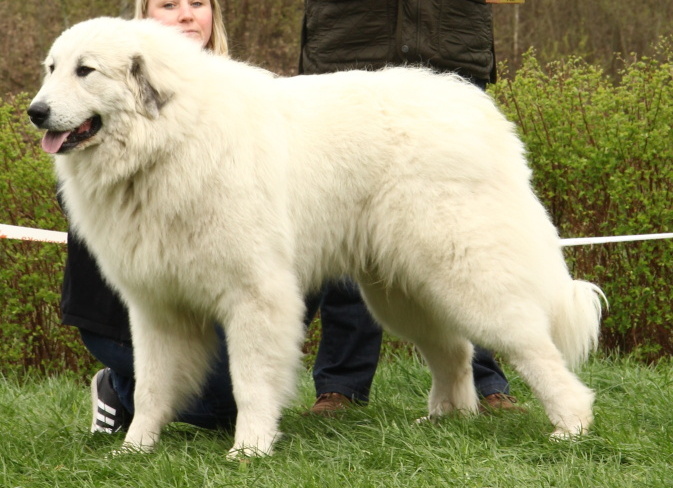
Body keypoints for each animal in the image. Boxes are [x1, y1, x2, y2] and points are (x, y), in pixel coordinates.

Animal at [27, 16, 604, 458]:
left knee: (531, 345)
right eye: (52, 69)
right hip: (400, 292)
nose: (35, 112)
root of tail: (484, 114)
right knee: (454, 351)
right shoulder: (157, 306)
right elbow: (149, 386)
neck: (170, 139)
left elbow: (250, 380)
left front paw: (249, 450)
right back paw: (446, 420)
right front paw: (134, 450)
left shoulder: (257, 295)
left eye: (85, 71)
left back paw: (571, 425)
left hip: (464, 274)